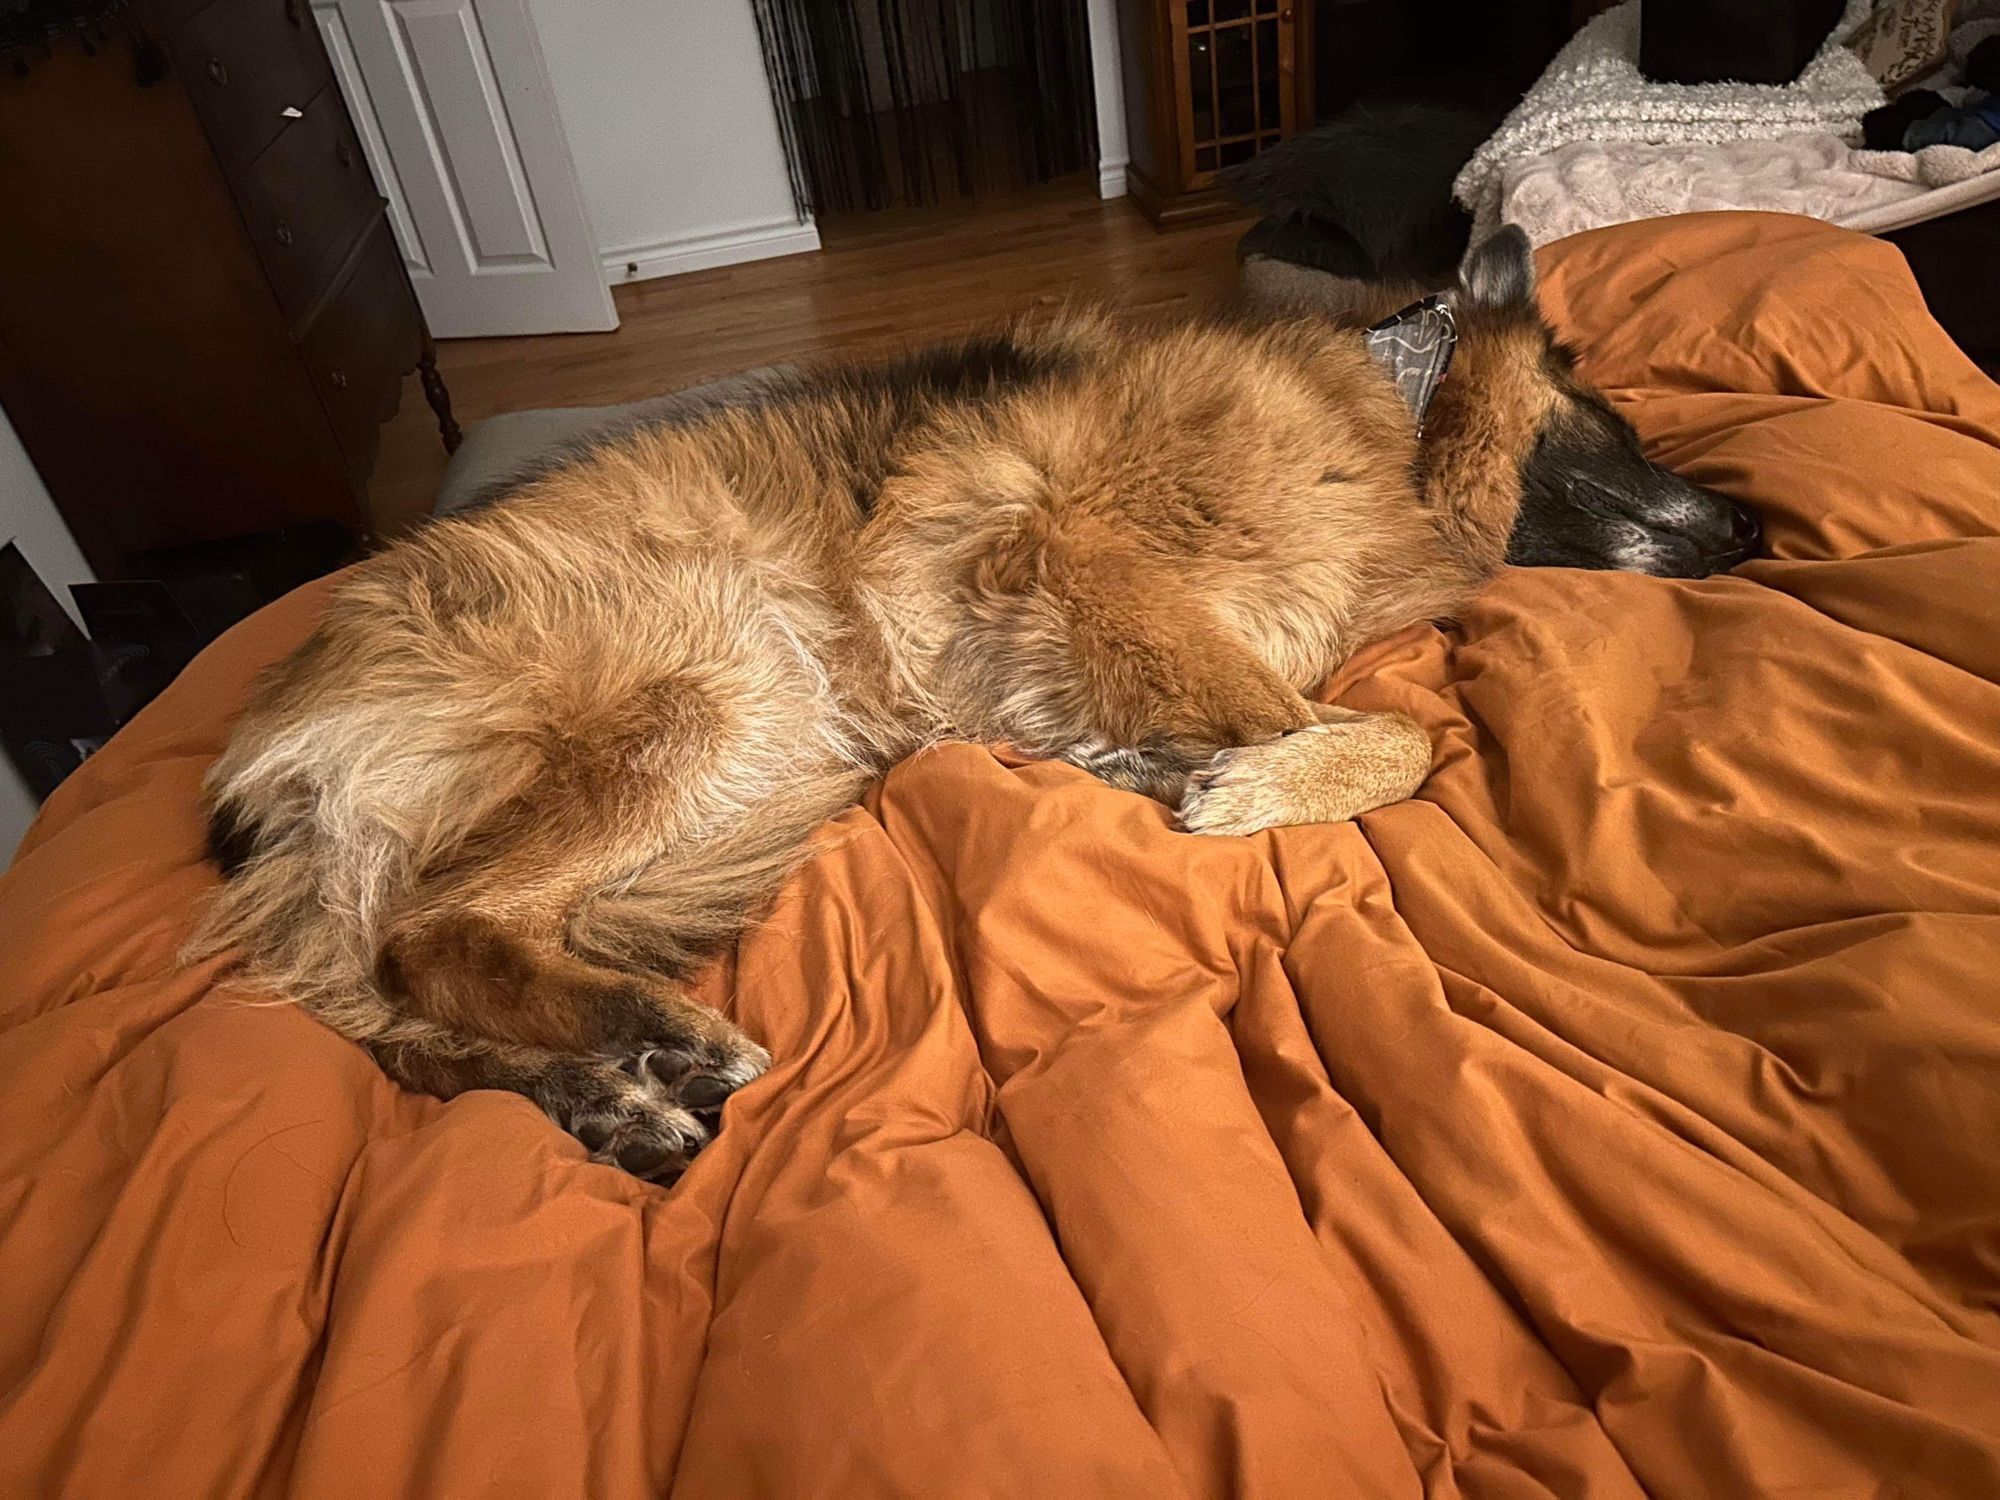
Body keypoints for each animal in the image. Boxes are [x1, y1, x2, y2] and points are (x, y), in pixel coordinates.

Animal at [188, 226, 1752, 1184]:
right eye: (1614, 417)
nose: (1756, 524)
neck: (1393, 419)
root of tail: (276, 750)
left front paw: (1170, 769)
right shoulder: (1081, 553)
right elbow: (1399, 733)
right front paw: (1256, 783)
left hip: (766, 774)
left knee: (406, 1023)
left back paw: (605, 1095)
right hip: (711, 697)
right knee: (434, 935)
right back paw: (652, 1032)